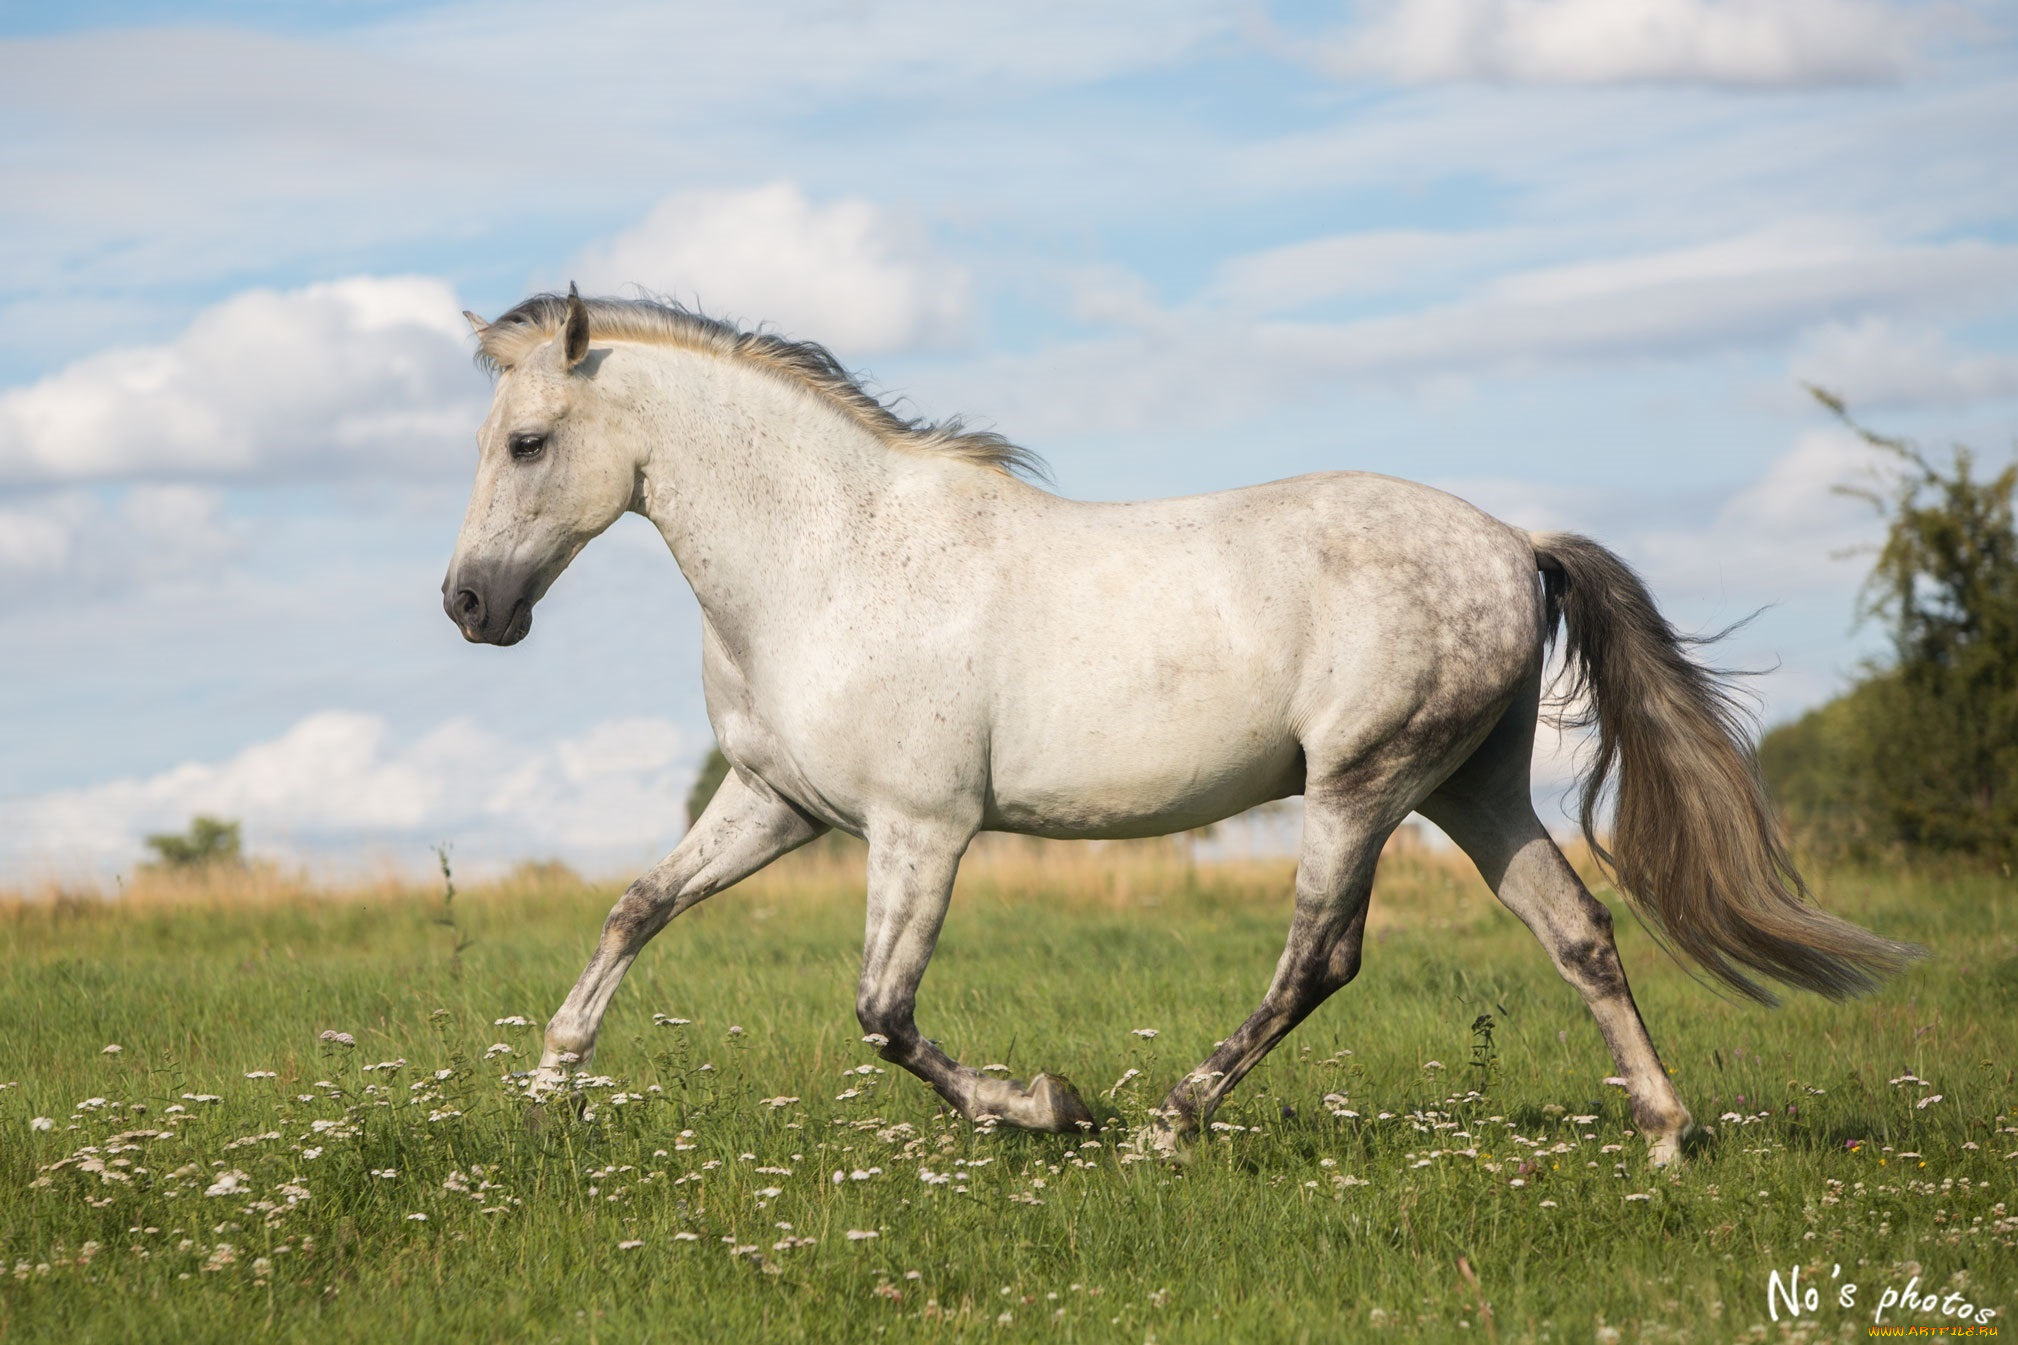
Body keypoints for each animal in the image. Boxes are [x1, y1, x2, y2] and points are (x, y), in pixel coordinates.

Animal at [441, 290, 1904, 1161]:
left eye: (526, 443)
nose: (467, 605)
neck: (830, 556)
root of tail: (1513, 545)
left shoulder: (921, 829)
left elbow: (881, 1011)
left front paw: (1046, 1107)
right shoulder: (776, 803)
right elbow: (636, 909)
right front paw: (544, 1095)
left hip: (1361, 783)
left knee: (1319, 958)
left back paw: (1166, 1123)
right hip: (1471, 788)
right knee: (1580, 933)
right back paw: (1663, 1137)